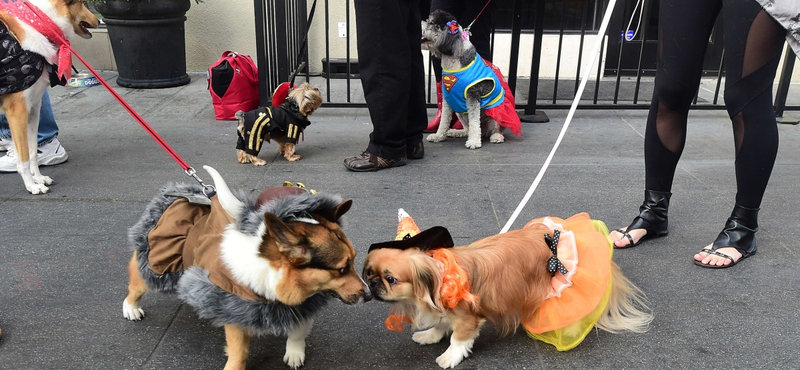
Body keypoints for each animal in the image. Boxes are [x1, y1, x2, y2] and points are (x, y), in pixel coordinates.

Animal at [366, 210, 652, 368]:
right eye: (369, 272)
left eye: (390, 278)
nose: (373, 282)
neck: (440, 277)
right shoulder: (445, 310)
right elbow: (440, 324)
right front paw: (430, 336)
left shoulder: (468, 317)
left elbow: (459, 338)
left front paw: (449, 357)